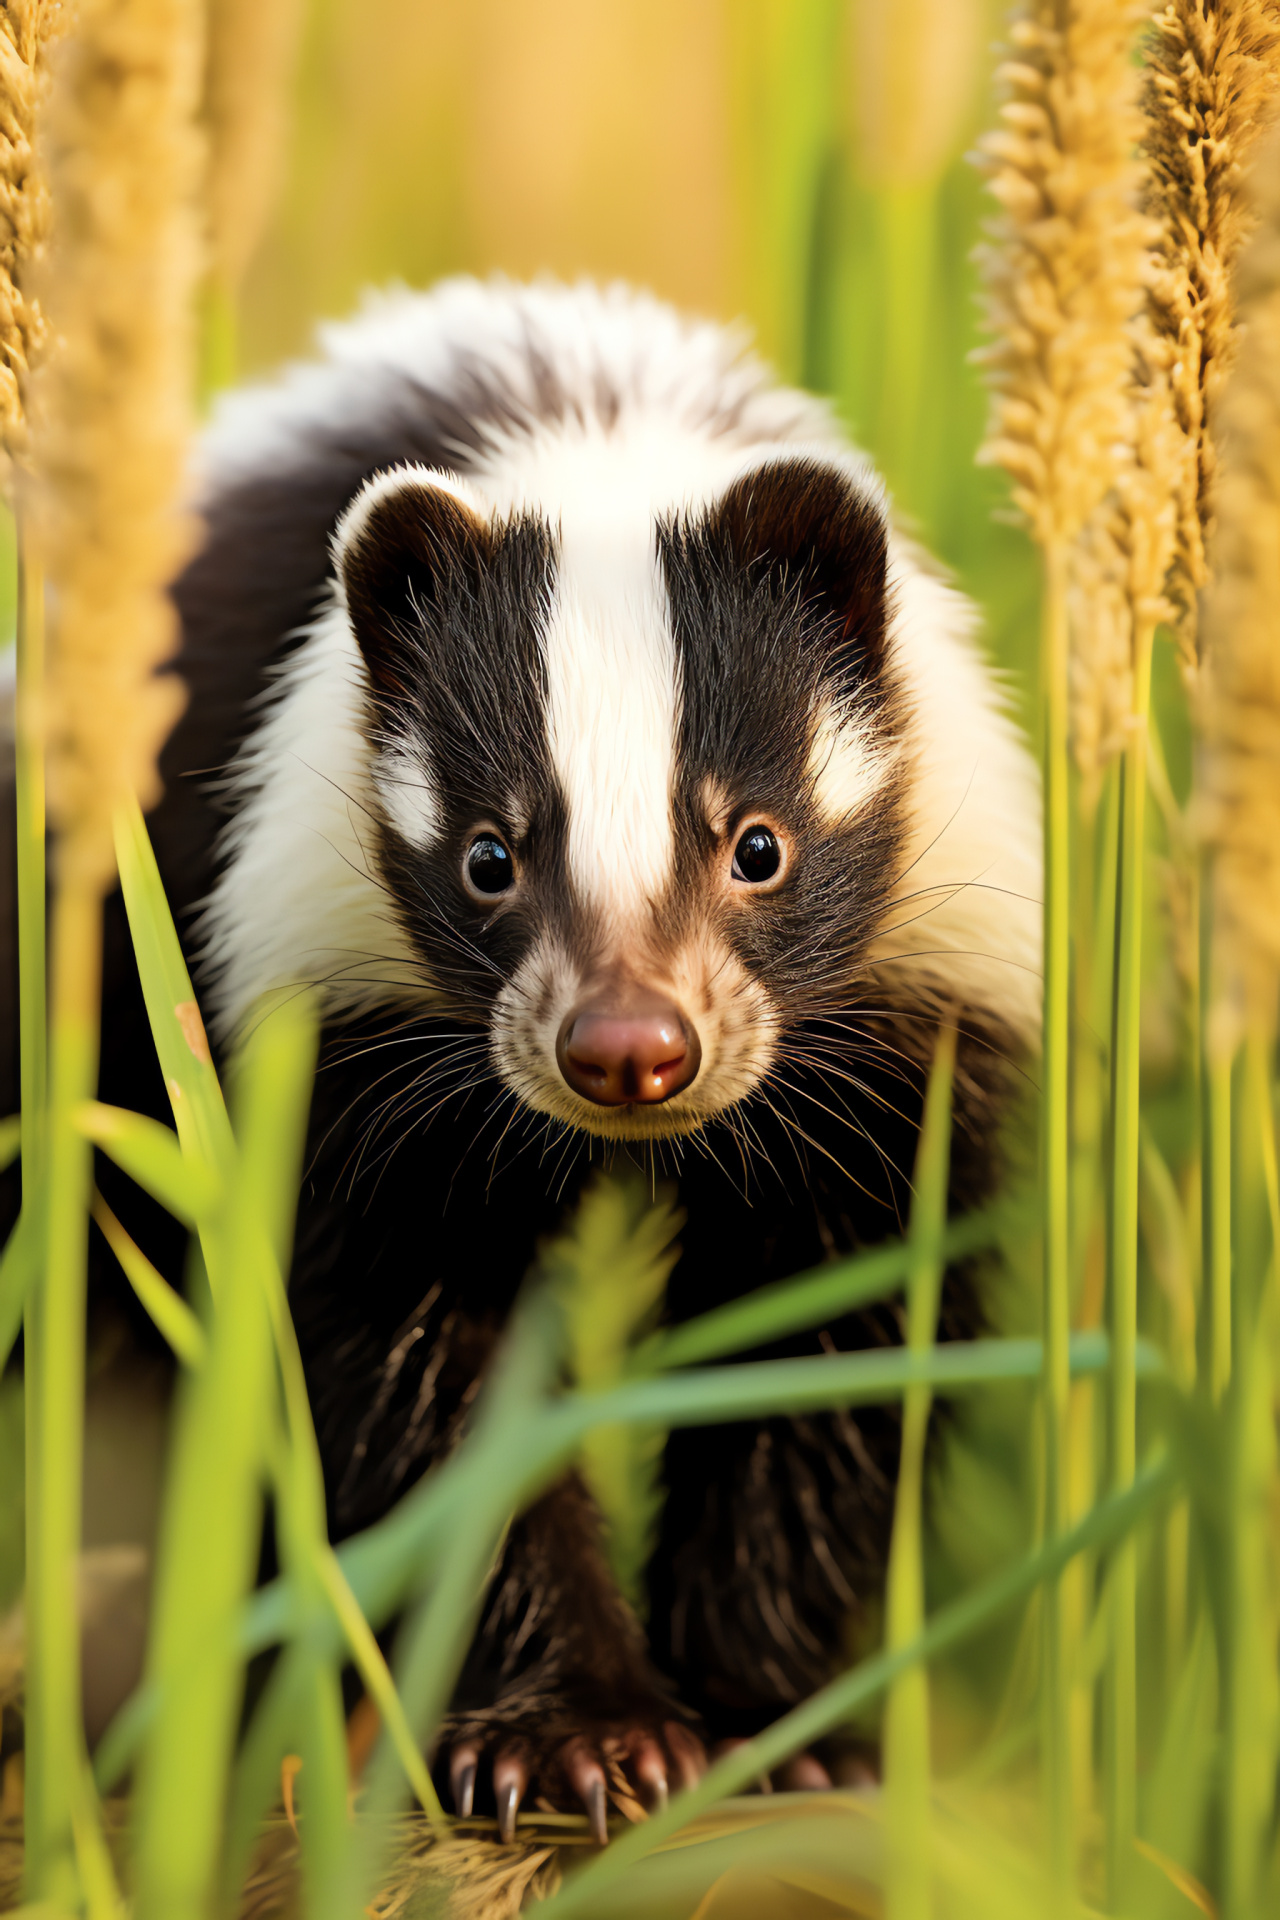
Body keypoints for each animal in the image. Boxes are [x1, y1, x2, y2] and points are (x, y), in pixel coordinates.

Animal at [7, 278, 1043, 1835]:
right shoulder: (353, 1053)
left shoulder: (898, 1048)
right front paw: (578, 1742)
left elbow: (836, 1342)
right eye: (489, 855)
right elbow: (413, 1366)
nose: (627, 1046)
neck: (593, 436)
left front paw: (774, 1727)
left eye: (757, 844)